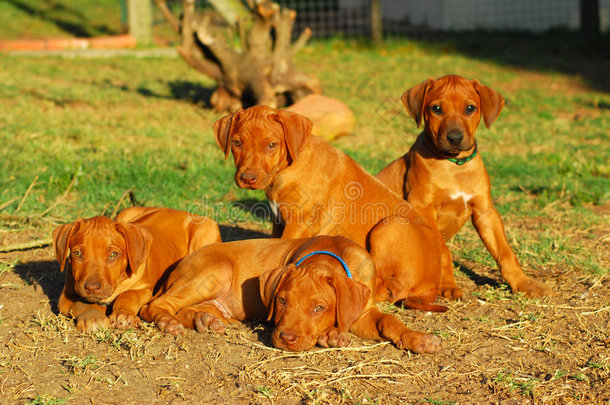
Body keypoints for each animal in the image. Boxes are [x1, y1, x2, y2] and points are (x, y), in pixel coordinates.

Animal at [52, 207, 221, 330]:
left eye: (113, 255)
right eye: (77, 253)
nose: (92, 288)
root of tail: (177, 210)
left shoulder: (144, 289)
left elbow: (128, 295)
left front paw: (123, 315)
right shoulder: (66, 296)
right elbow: (82, 302)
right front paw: (93, 317)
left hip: (206, 233)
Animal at [140, 235, 440, 352]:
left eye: (319, 308)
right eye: (282, 301)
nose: (286, 339)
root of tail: (176, 267)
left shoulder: (363, 311)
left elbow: (388, 320)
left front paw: (417, 338)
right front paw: (331, 335)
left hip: (215, 299)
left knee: (188, 309)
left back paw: (205, 320)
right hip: (215, 271)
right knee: (156, 305)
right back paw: (167, 321)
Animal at [211, 105, 454, 308]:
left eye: (271, 145)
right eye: (236, 143)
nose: (248, 178)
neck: (289, 166)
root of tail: (432, 284)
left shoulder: (299, 223)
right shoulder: (279, 219)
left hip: (390, 227)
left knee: (391, 289)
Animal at [376, 75, 552, 296]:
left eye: (470, 108)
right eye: (436, 109)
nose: (455, 138)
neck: (455, 165)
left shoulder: (485, 212)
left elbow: (505, 252)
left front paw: (524, 283)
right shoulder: (423, 208)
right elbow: (443, 250)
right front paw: (448, 285)